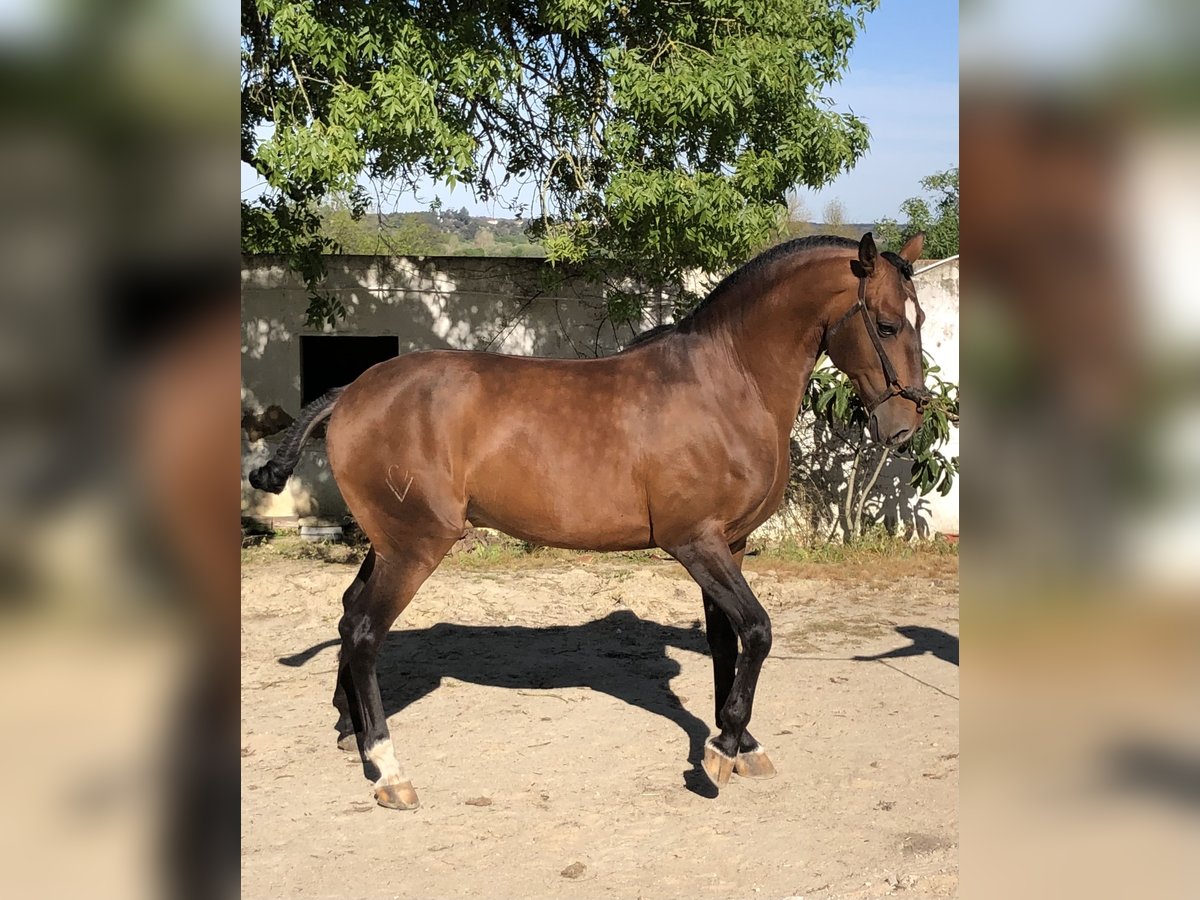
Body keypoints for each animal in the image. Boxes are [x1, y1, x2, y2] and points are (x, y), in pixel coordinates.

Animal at [250, 230, 926, 811]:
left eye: (917, 320)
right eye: (887, 324)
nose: (904, 429)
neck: (727, 383)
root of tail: (352, 393)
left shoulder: (728, 545)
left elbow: (725, 643)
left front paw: (740, 745)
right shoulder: (695, 543)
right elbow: (757, 631)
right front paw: (720, 752)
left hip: (388, 543)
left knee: (347, 615)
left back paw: (349, 730)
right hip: (415, 547)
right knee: (365, 632)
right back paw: (389, 771)